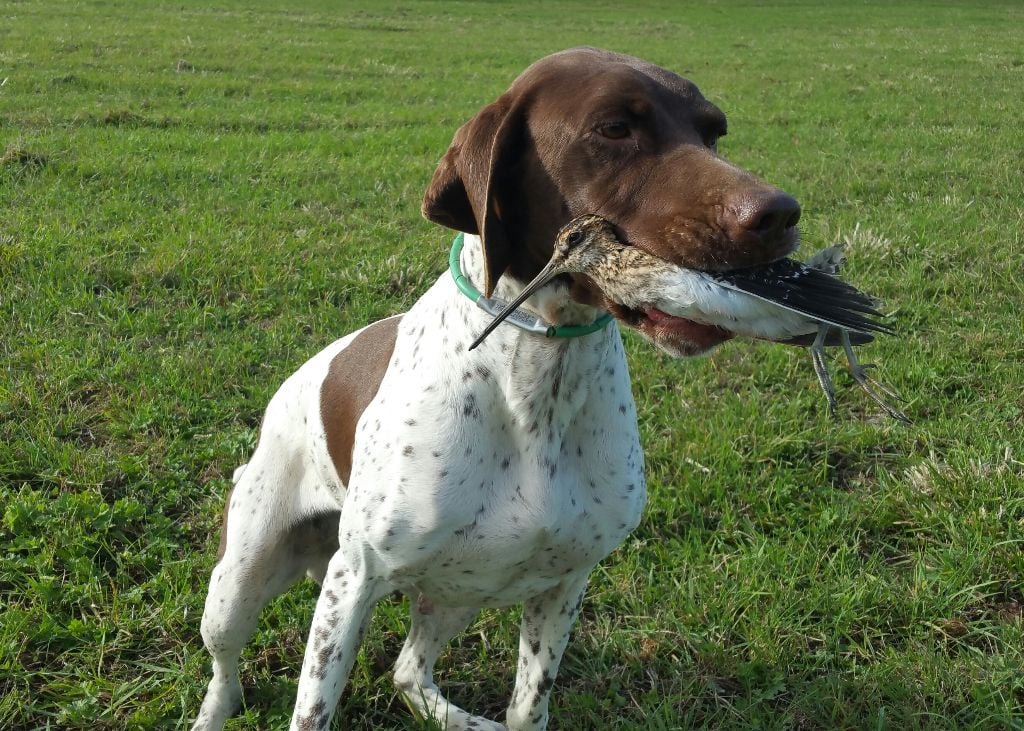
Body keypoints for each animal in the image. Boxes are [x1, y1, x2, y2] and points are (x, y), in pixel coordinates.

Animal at [192, 47, 798, 728]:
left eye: (713, 132)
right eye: (614, 128)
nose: (781, 214)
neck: (539, 376)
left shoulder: (564, 584)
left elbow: (528, 705)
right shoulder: (353, 581)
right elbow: (312, 711)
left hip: (460, 589)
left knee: (409, 668)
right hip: (241, 581)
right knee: (226, 671)